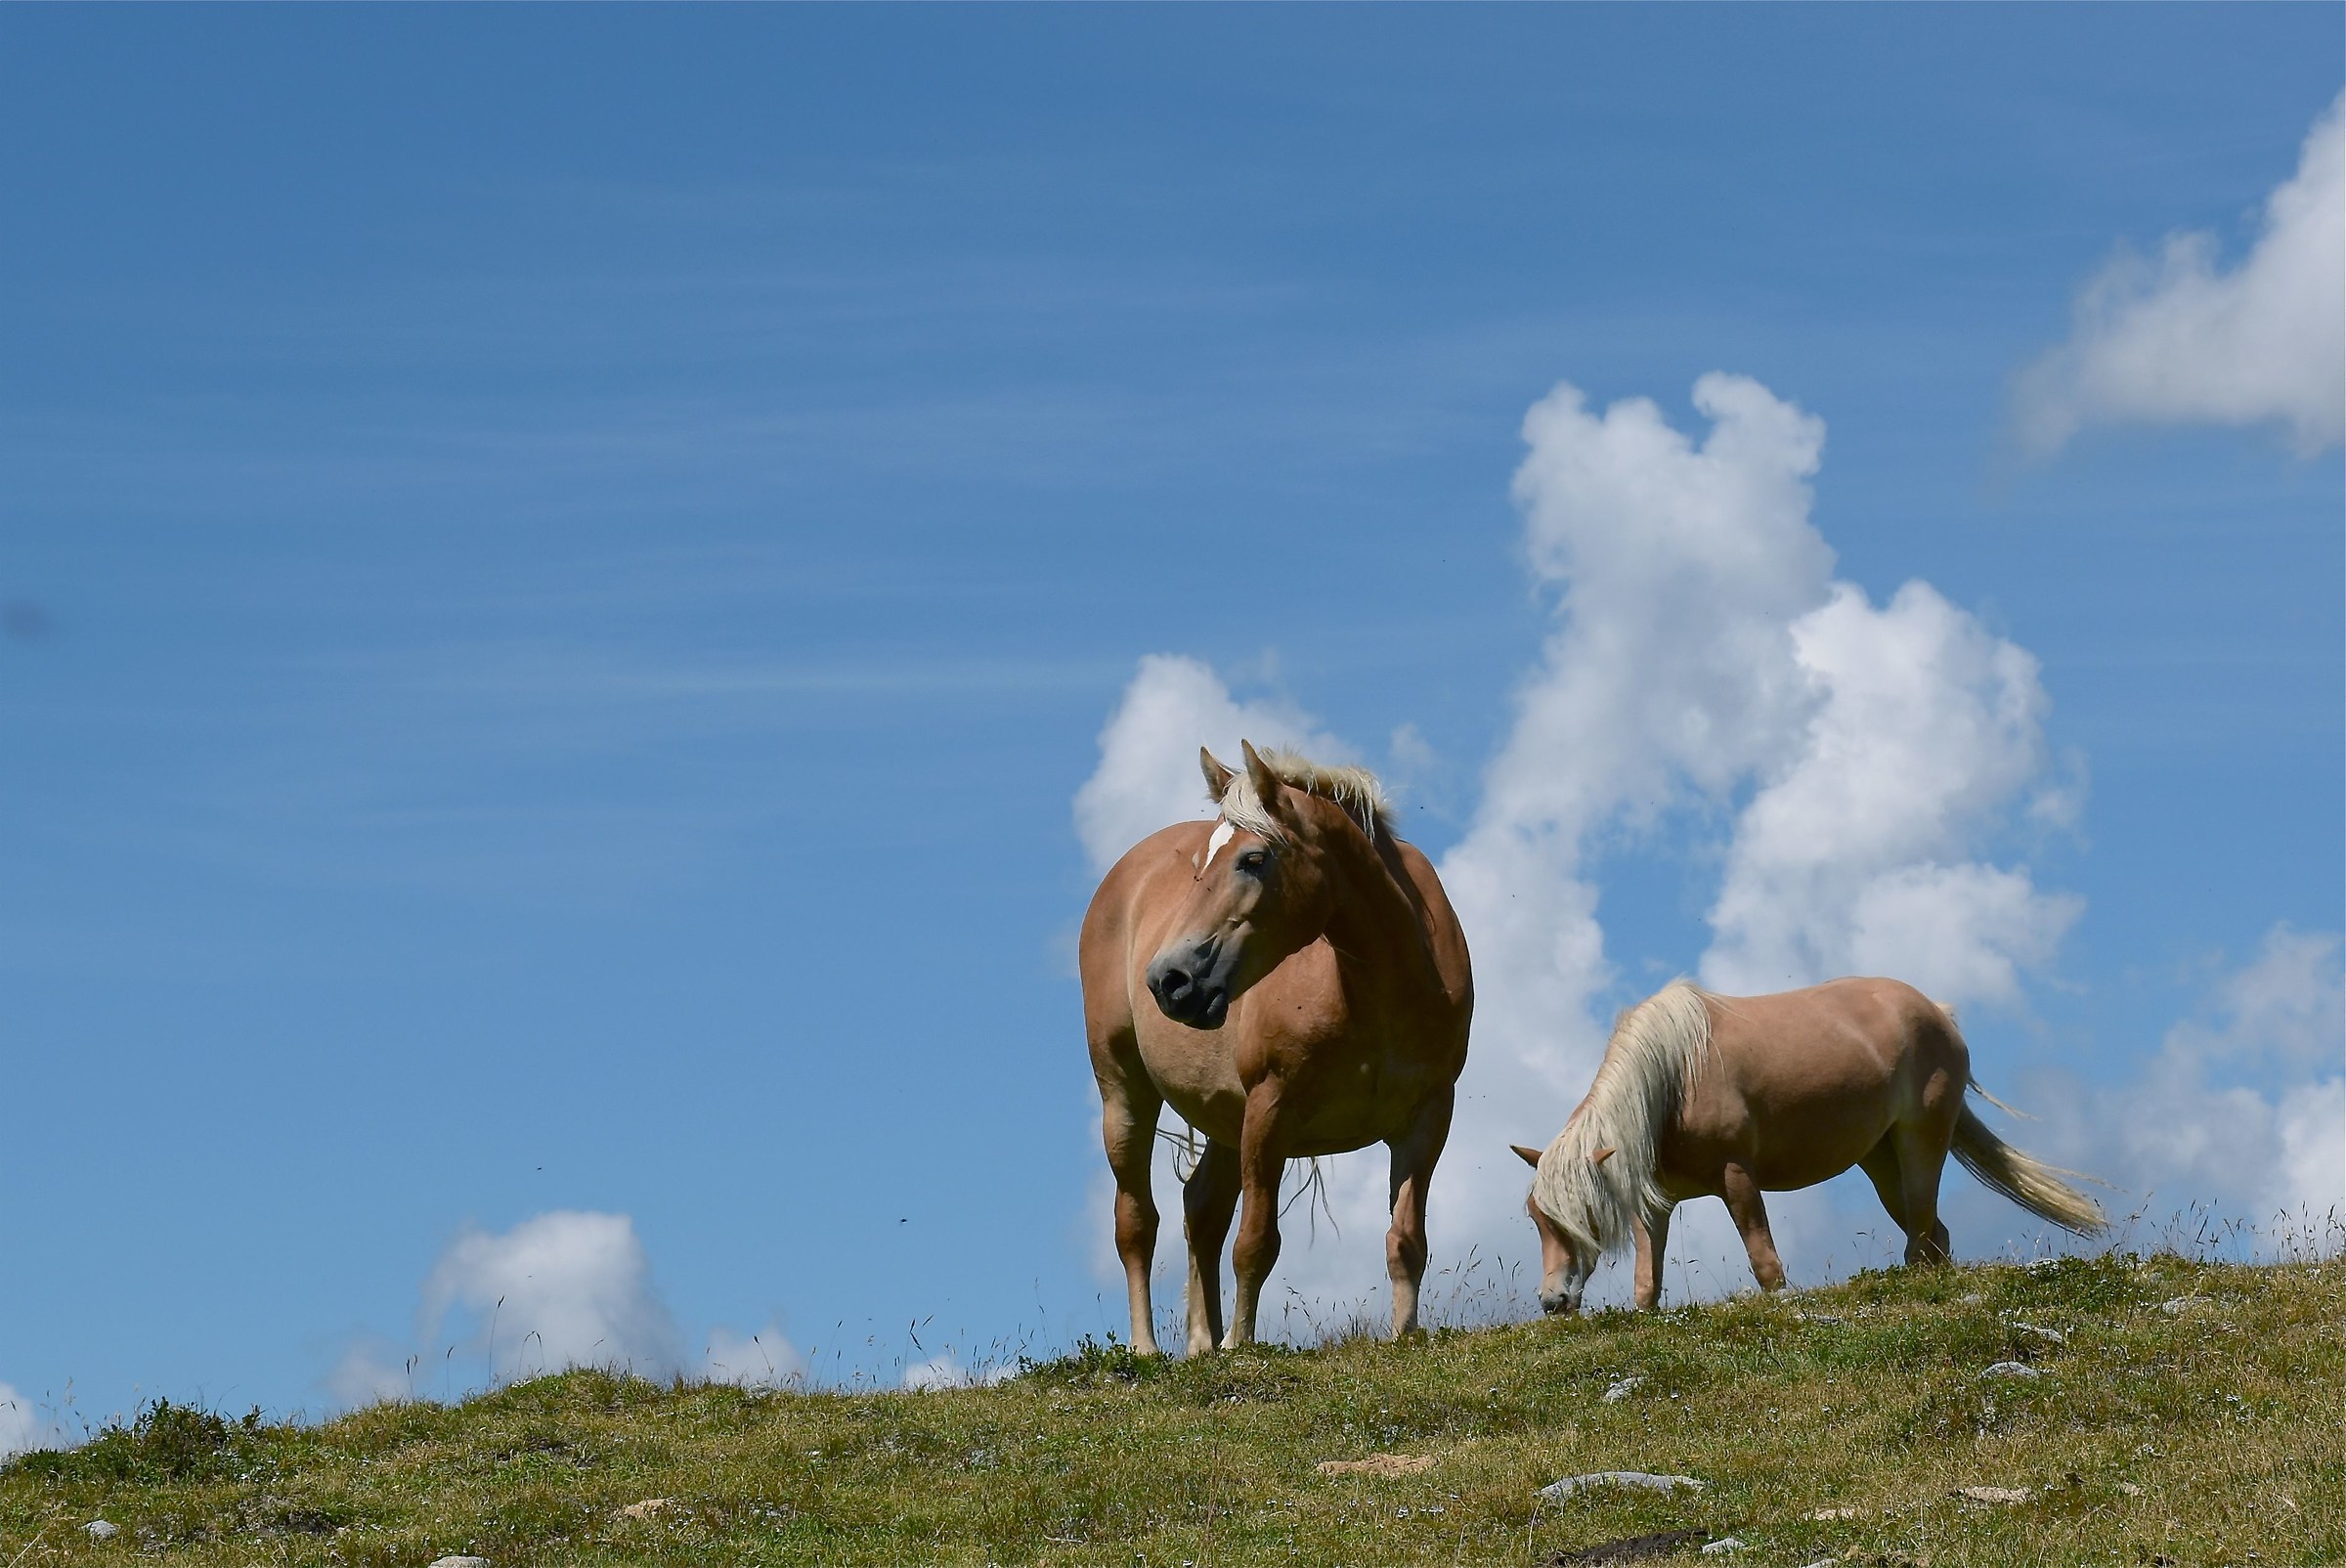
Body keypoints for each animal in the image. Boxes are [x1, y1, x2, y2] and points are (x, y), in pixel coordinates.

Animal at [1074, 746, 1463, 1352]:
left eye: (1253, 859)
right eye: (1199, 866)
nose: (1168, 979)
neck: (1377, 992)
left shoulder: (1427, 1119)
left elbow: (1406, 1241)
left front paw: (1405, 1335)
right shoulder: (1270, 1110)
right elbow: (1255, 1242)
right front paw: (1241, 1346)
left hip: (1224, 1121)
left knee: (1200, 1211)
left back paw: (1202, 1346)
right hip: (1124, 1094)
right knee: (1136, 1223)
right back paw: (1147, 1350)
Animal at [1520, 980, 2111, 1314]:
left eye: (1578, 1216)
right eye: (1537, 1219)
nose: (1553, 1301)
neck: (1672, 1078)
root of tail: (1937, 1011)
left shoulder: (1737, 1177)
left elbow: (1764, 1260)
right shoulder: (1654, 1202)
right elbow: (1648, 1280)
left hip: (1921, 1142)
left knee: (1924, 1232)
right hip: (1880, 1161)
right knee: (1934, 1235)